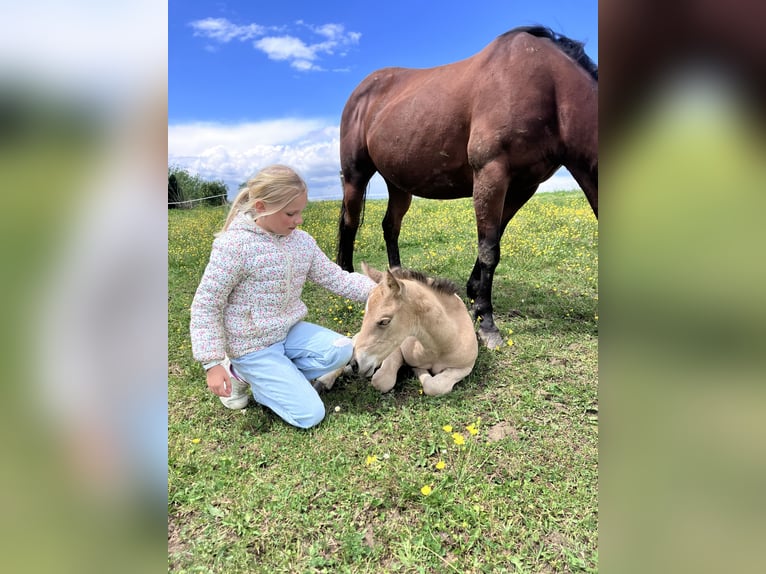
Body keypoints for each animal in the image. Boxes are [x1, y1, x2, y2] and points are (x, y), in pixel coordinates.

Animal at [336, 26, 598, 349]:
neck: (548, 87)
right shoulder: (491, 173)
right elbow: (489, 249)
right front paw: (486, 321)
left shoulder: (523, 186)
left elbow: (493, 238)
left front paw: (474, 294)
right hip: (355, 175)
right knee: (349, 223)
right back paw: (346, 277)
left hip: (398, 184)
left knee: (390, 226)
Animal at [350, 263, 478, 396]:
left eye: (384, 321)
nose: (355, 364)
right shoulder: (397, 346)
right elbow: (382, 381)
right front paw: (417, 369)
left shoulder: (466, 367)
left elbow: (434, 386)